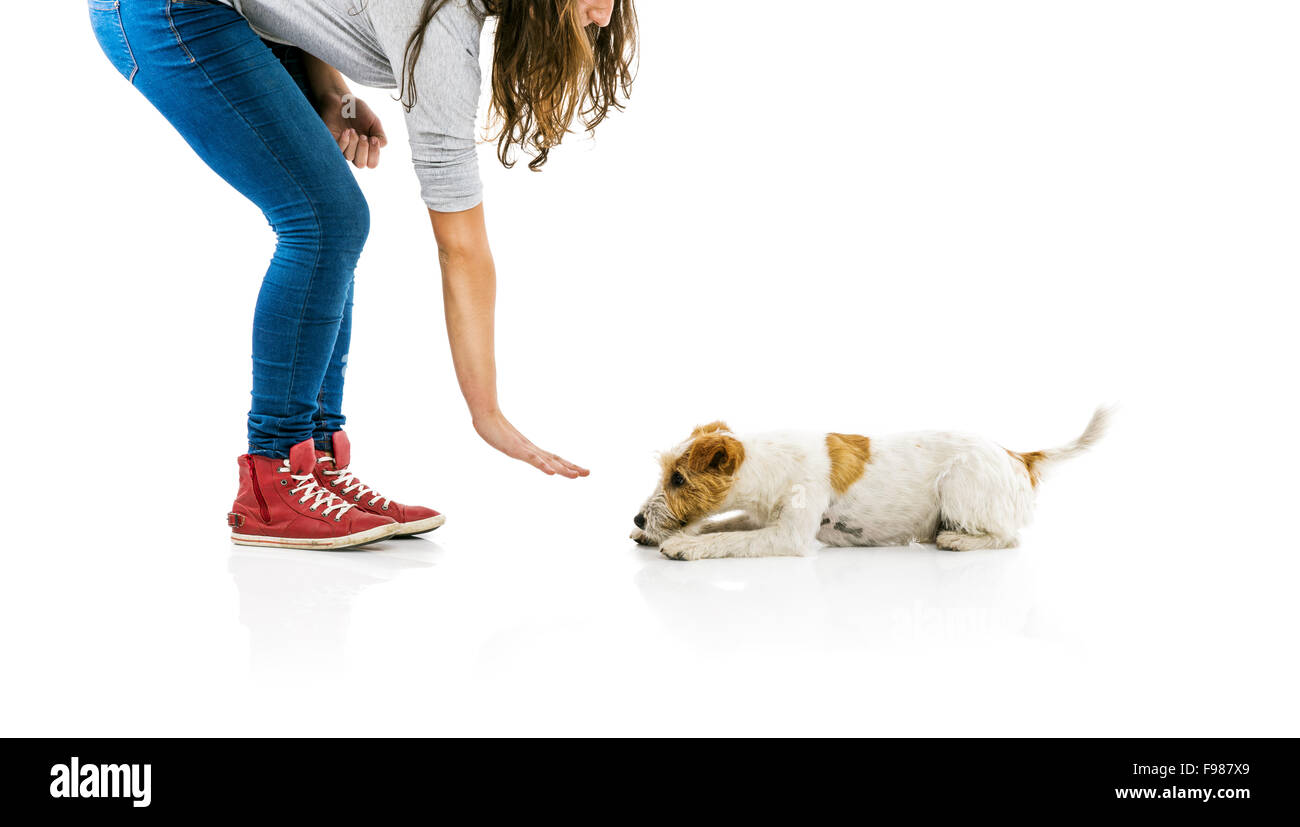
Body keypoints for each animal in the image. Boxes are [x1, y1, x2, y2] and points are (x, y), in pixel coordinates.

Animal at [629, 408, 1107, 561]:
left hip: (959, 485)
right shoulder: (759, 516)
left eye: (678, 477)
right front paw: (657, 534)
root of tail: (1017, 456)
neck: (765, 462)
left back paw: (955, 540)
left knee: (1008, 538)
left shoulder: (787, 535)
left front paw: (682, 544)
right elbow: (720, 524)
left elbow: (723, 539)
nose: (636, 517)